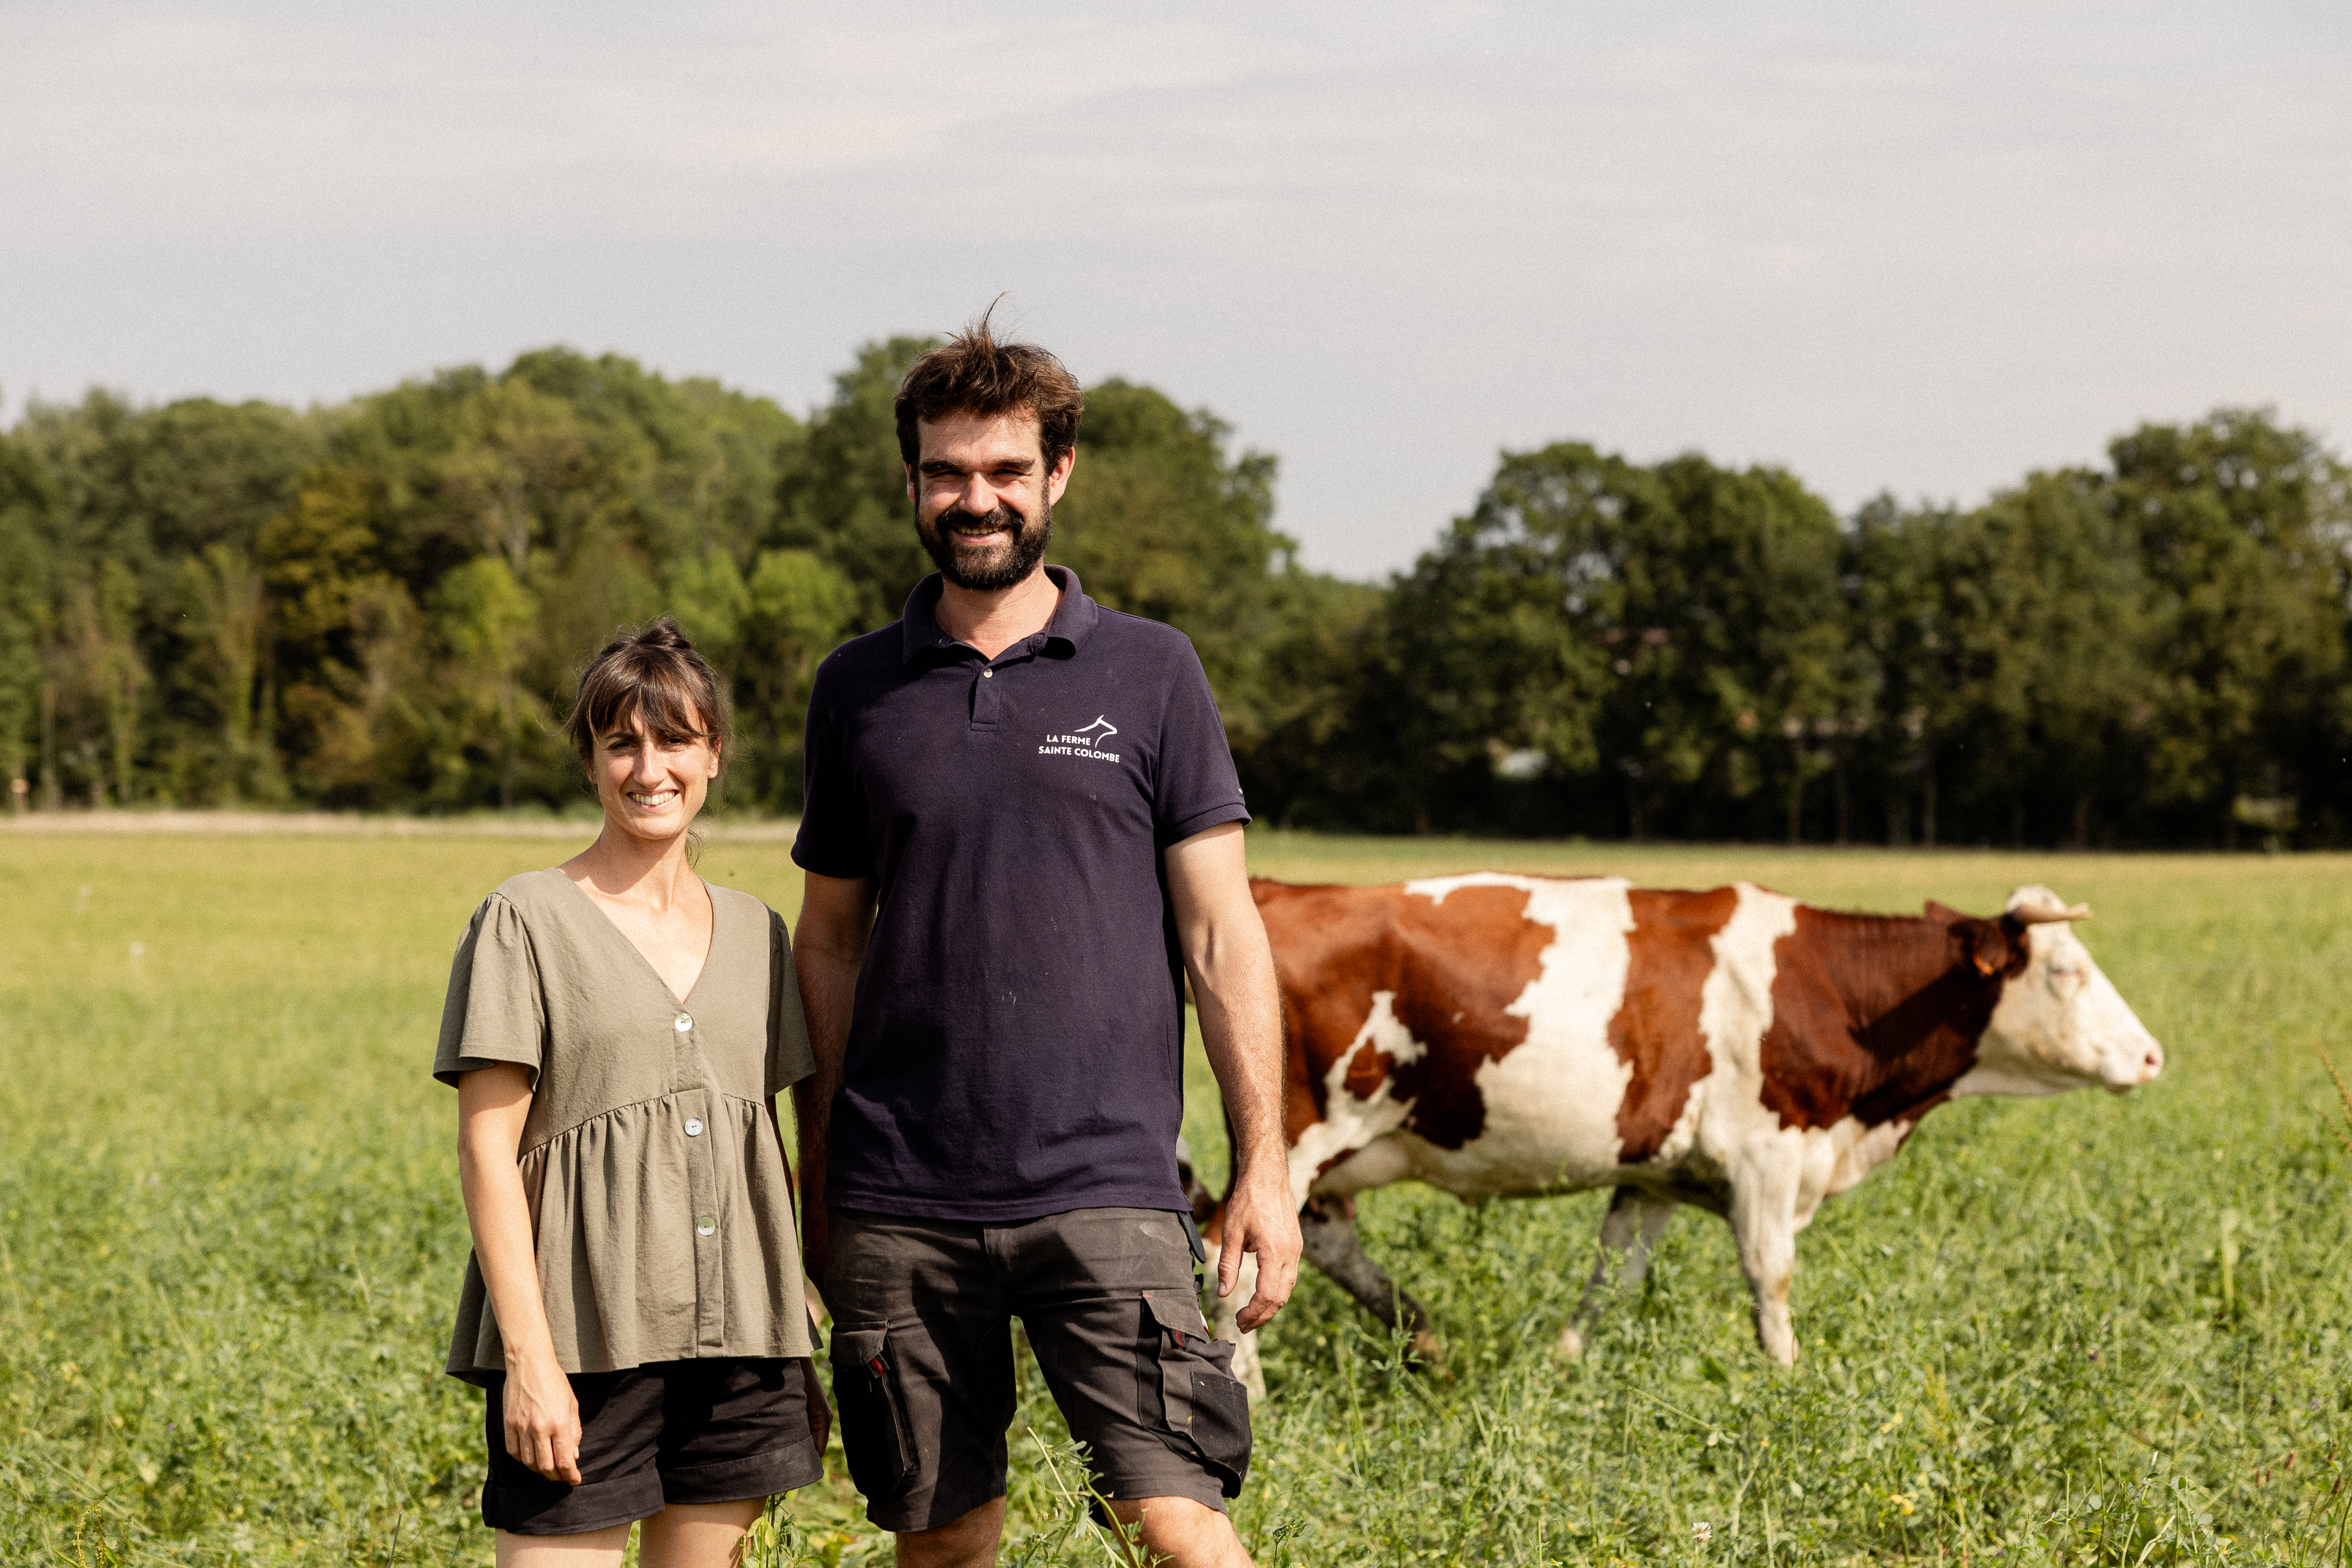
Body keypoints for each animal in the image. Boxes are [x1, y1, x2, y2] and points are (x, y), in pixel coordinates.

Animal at [1214, 879, 2164, 1382]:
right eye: (2067, 971)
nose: (2152, 1056)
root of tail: (1281, 889)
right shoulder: (1767, 1154)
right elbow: (1769, 1278)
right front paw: (1786, 1384)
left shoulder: (1651, 1174)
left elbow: (1610, 1274)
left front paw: (1563, 1365)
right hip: (1295, 1141)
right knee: (1242, 1260)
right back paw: (1248, 1392)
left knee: (1321, 1247)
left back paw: (1422, 1335)